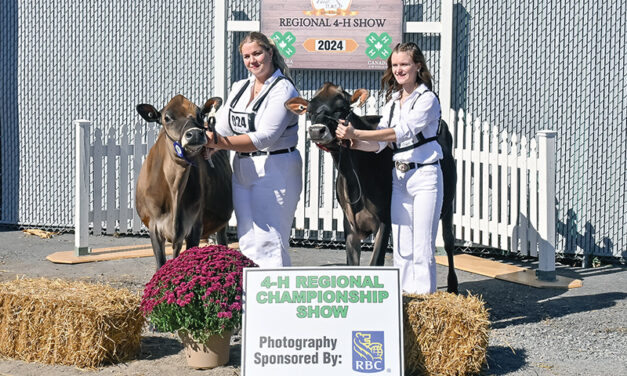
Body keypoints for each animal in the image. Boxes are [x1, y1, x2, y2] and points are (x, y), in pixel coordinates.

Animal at [137, 95, 233, 268]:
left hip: (222, 223)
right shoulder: (154, 227)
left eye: (200, 114)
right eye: (167, 117)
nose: (195, 134)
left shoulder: (194, 226)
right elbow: (161, 264)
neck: (174, 189)